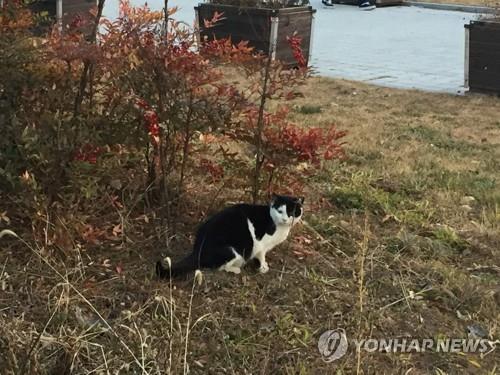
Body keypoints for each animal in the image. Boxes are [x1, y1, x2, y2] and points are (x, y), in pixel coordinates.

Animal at [156, 194, 304, 280]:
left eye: (291, 212)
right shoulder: (261, 244)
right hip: (232, 251)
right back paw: (236, 269)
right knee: (219, 267)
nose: (285, 219)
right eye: (280, 211)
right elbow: (261, 255)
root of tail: (197, 249)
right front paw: (263, 267)